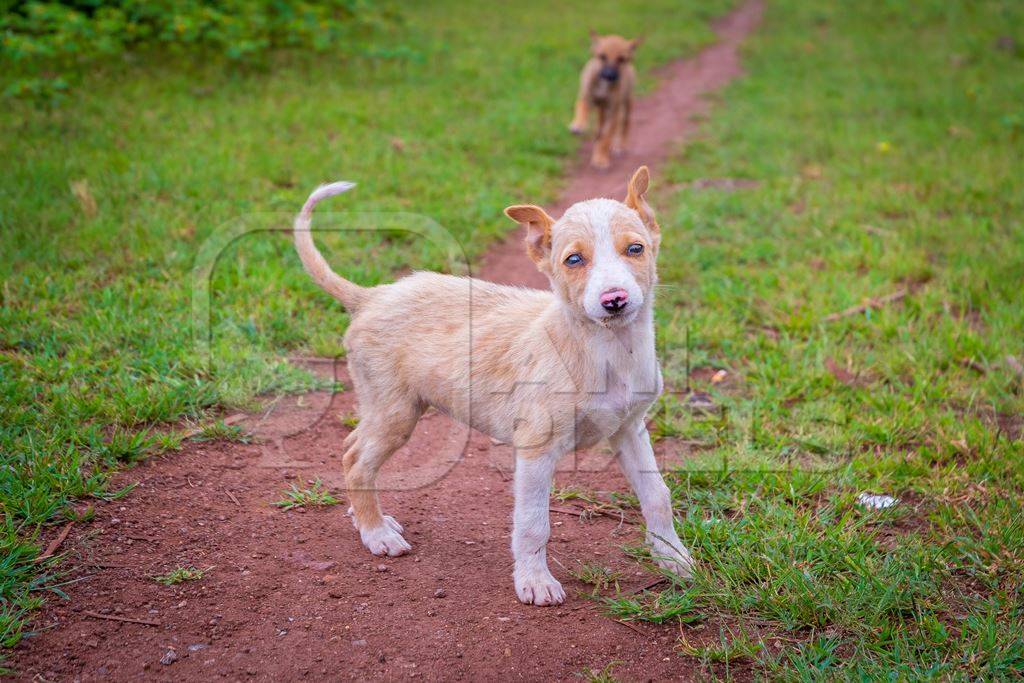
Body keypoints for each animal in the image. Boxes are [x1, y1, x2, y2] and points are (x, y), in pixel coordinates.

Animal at [296, 167, 696, 606]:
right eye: (573, 260)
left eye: (635, 249)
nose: (615, 300)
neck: (607, 350)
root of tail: (372, 296)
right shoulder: (536, 449)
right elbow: (533, 523)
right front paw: (535, 581)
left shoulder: (630, 428)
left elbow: (658, 495)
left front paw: (673, 558)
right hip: (394, 411)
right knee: (357, 460)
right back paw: (376, 532)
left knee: (352, 446)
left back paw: (366, 516)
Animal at [569, 31, 638, 171]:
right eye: (602, 56)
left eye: (621, 59)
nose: (609, 75)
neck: (603, 84)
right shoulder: (586, 97)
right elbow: (582, 110)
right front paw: (578, 125)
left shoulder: (613, 111)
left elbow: (606, 137)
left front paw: (600, 159)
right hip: (601, 108)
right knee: (600, 125)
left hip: (626, 103)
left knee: (623, 124)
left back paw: (619, 145)